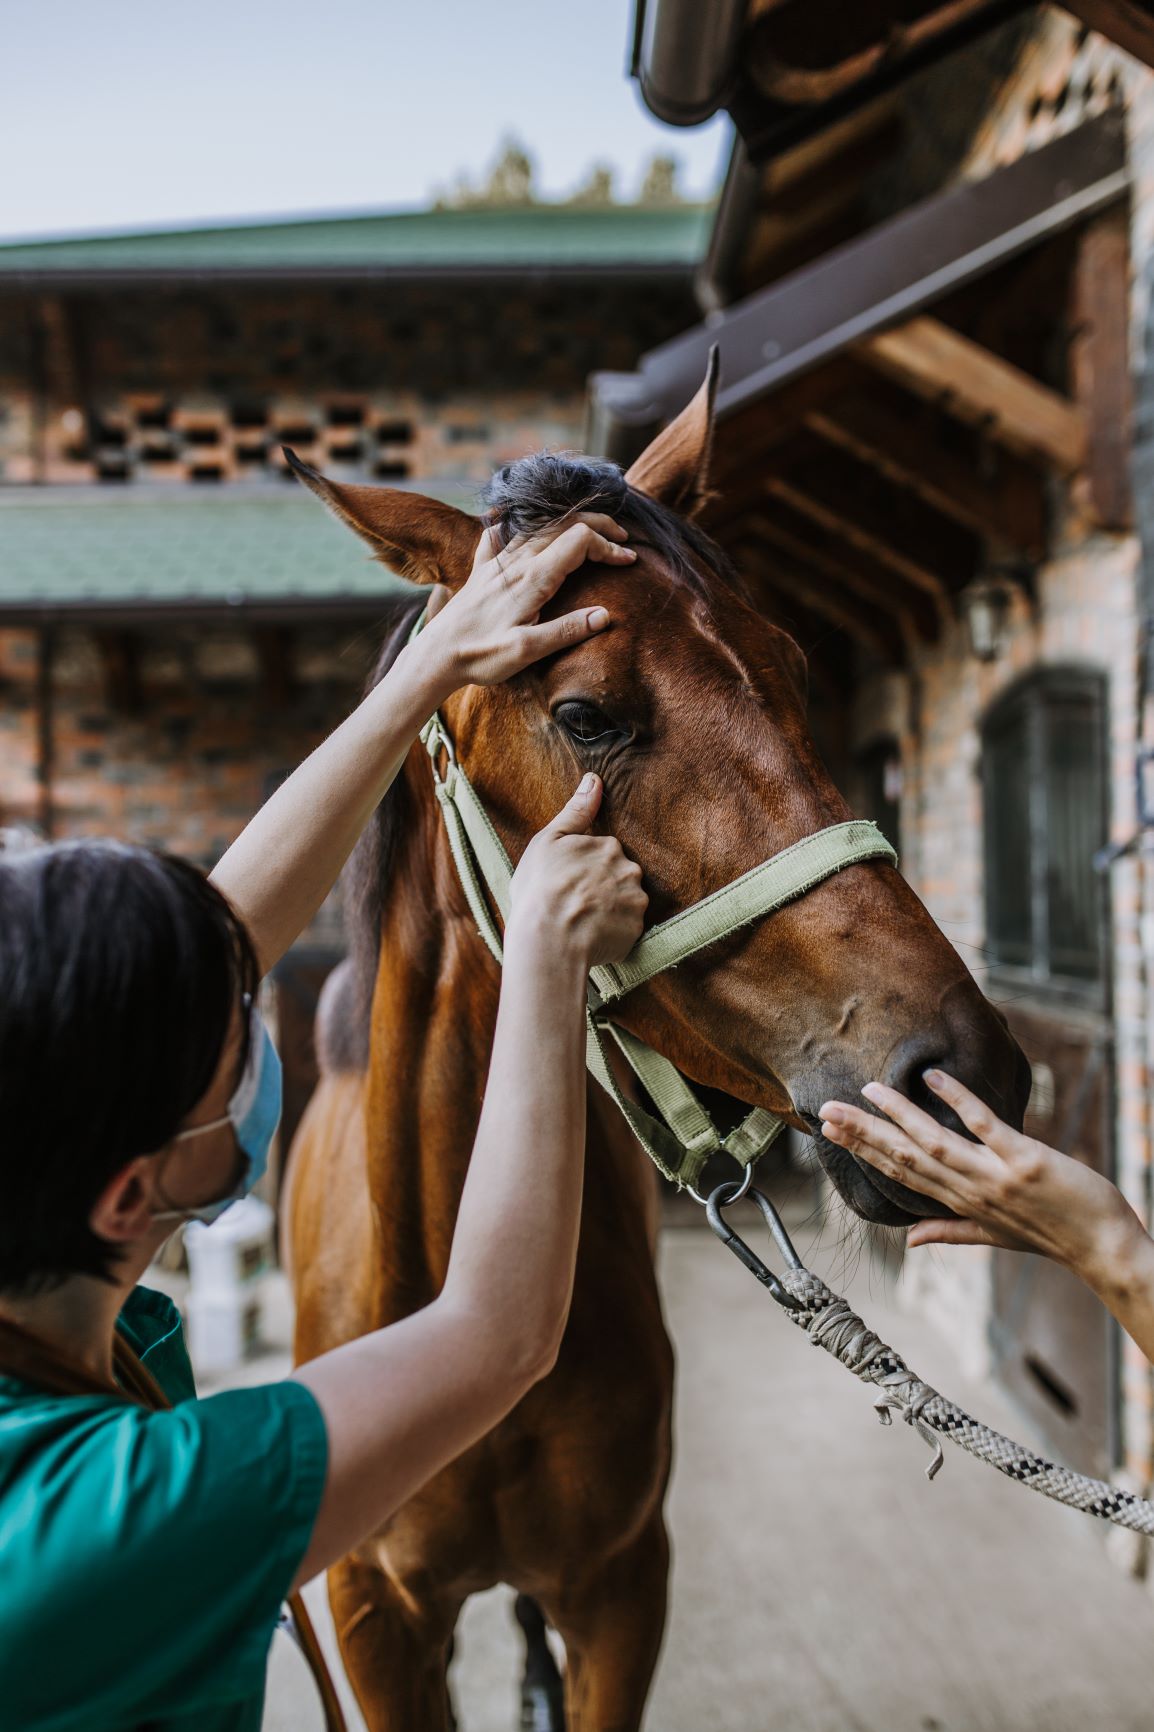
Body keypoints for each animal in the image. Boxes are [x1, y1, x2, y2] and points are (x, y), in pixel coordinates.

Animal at [285, 362, 1031, 1731]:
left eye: (792, 666)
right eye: (584, 714)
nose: (963, 1073)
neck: (453, 1284)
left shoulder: (624, 1587)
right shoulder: (373, 1621)